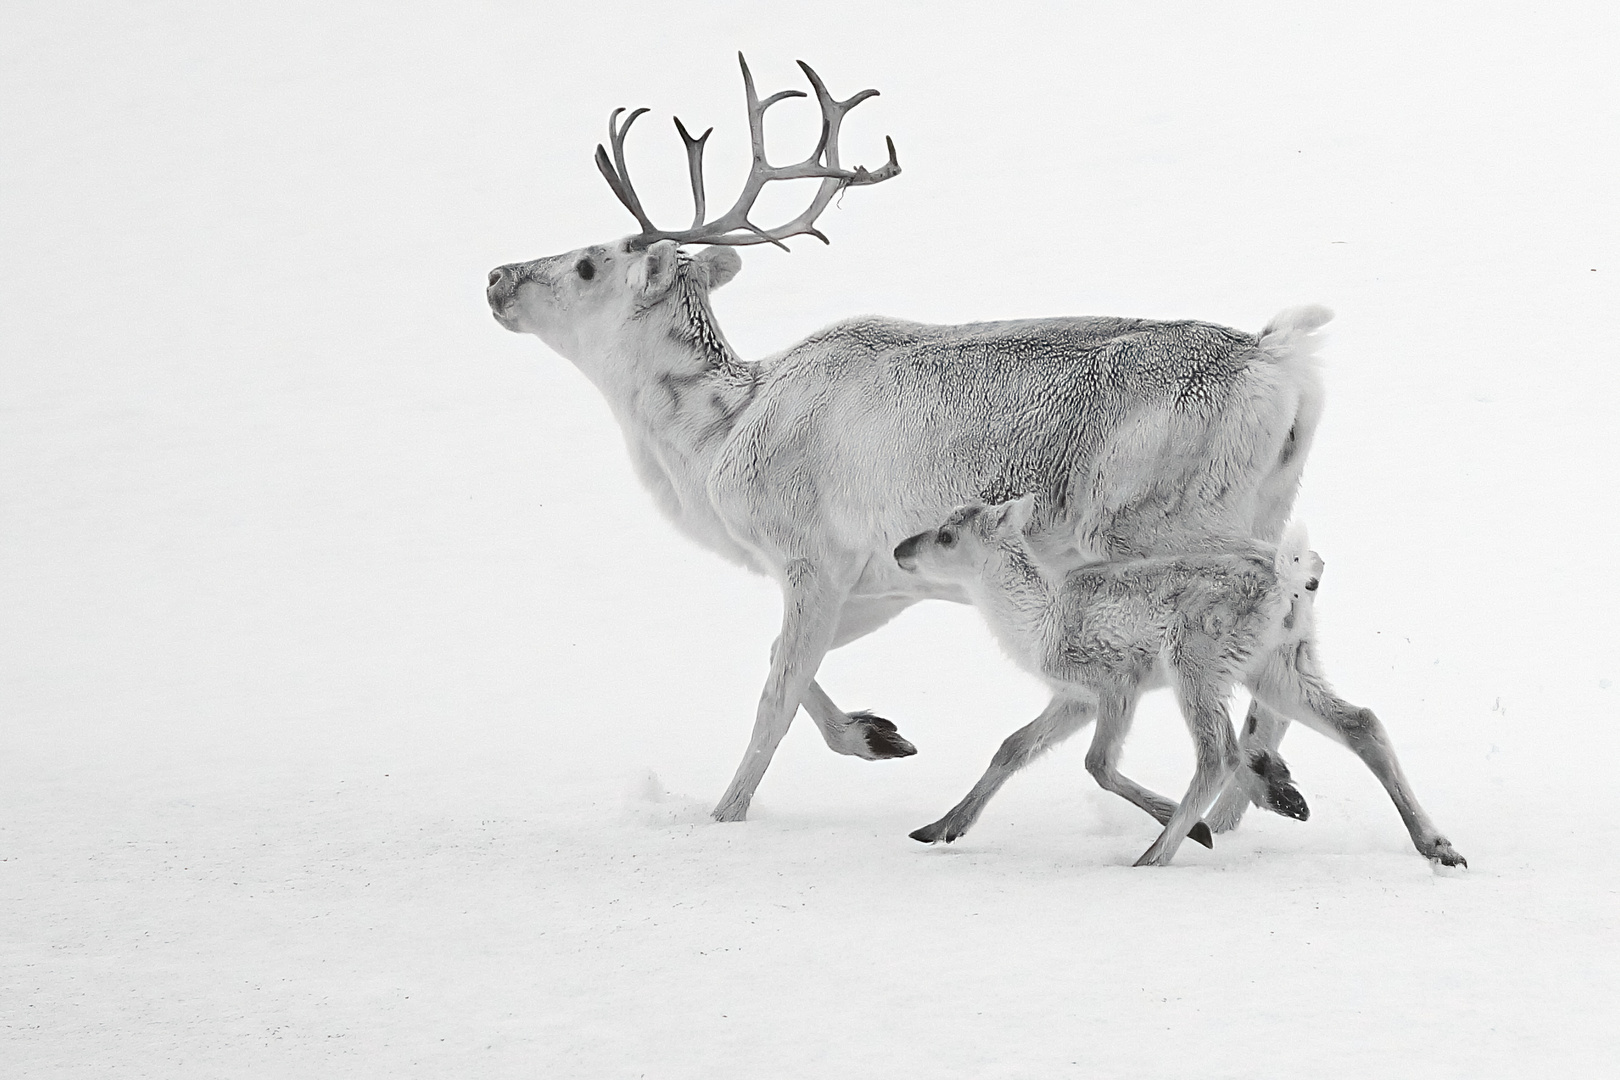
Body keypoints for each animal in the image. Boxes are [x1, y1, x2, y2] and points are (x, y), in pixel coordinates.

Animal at [894, 498, 1464, 867]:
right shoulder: (1074, 698)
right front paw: (938, 828)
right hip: (1279, 669)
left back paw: (1155, 855)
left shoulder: (1115, 682)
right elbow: (1011, 747)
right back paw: (1438, 845)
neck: (1037, 620)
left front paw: (1199, 831)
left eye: (947, 535)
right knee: (1361, 723)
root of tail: (1288, 581)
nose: (900, 551)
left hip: (1194, 663)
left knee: (1219, 753)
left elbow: (1097, 764)